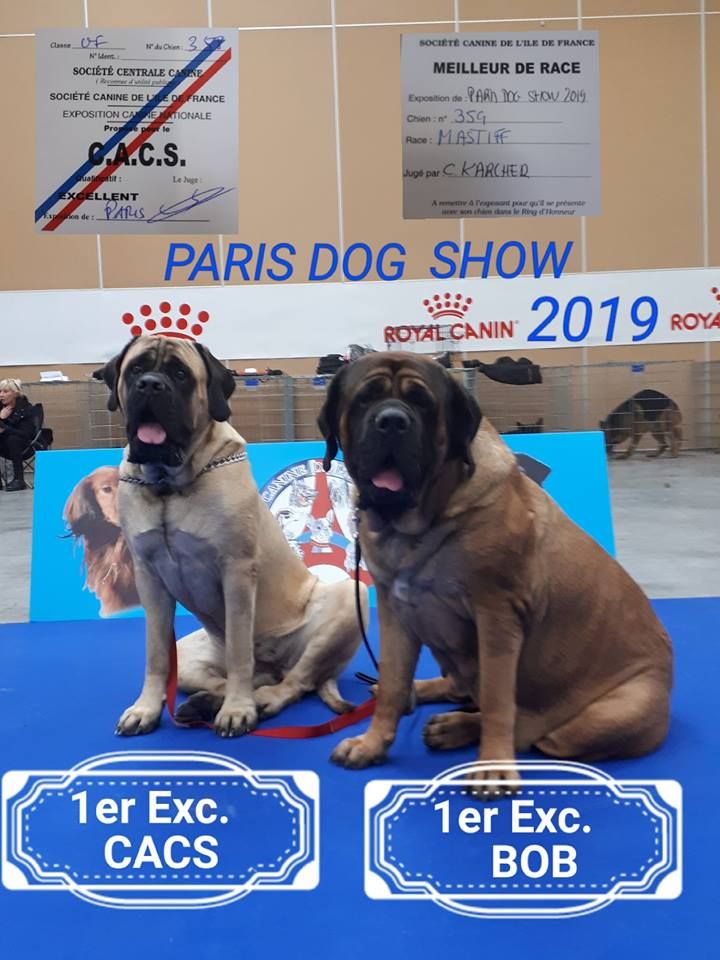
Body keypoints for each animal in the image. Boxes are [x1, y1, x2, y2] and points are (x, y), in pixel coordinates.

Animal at [97, 334, 366, 740]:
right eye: (136, 369)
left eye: (180, 374)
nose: (150, 385)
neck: (169, 485)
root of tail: (275, 661)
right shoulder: (149, 576)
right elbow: (156, 654)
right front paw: (146, 708)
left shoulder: (236, 572)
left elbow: (241, 651)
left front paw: (238, 711)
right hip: (190, 655)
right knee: (240, 678)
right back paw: (201, 704)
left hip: (350, 599)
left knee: (295, 680)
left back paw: (260, 701)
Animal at [318, 352, 672, 796]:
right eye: (365, 399)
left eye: (423, 403)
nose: (392, 421)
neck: (422, 520)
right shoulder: (395, 609)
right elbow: (395, 683)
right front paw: (371, 743)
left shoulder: (497, 616)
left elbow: (499, 701)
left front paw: (493, 767)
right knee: (450, 686)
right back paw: (421, 694)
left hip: (603, 717)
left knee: (533, 731)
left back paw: (455, 727)